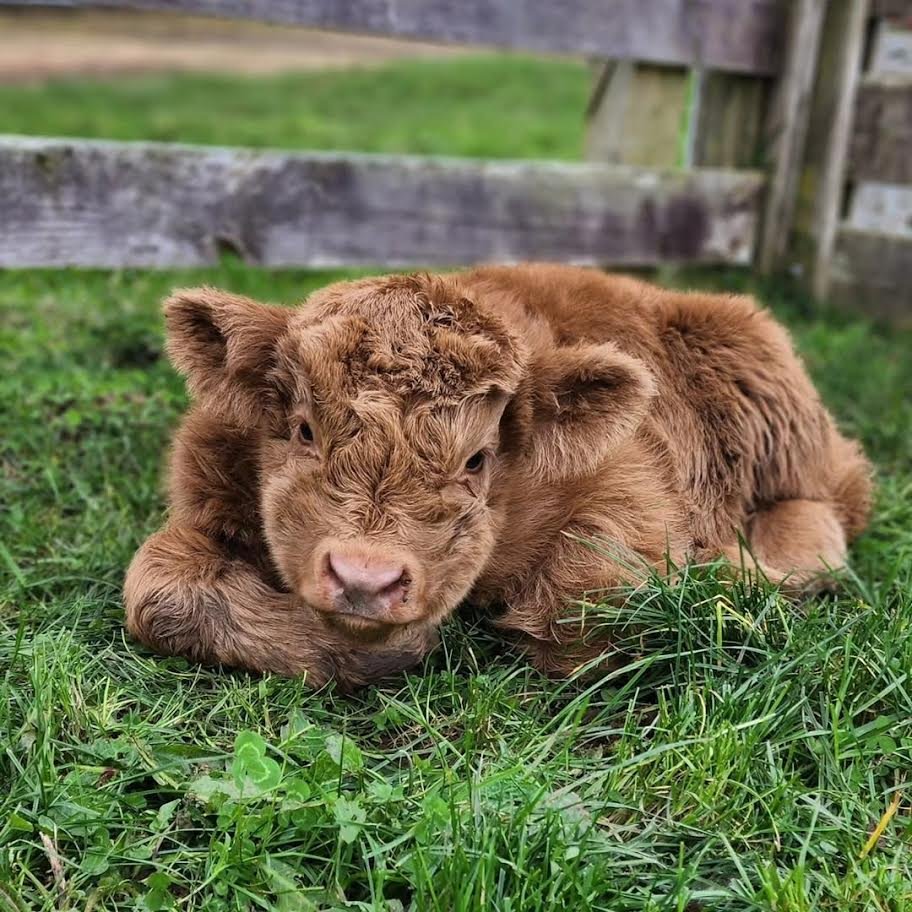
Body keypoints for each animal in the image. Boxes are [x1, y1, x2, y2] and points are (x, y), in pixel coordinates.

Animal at [124, 264, 872, 688]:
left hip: (794, 447)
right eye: (306, 431)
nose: (366, 577)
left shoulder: (632, 486)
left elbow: (586, 604)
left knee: (819, 526)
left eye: (477, 459)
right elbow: (158, 592)